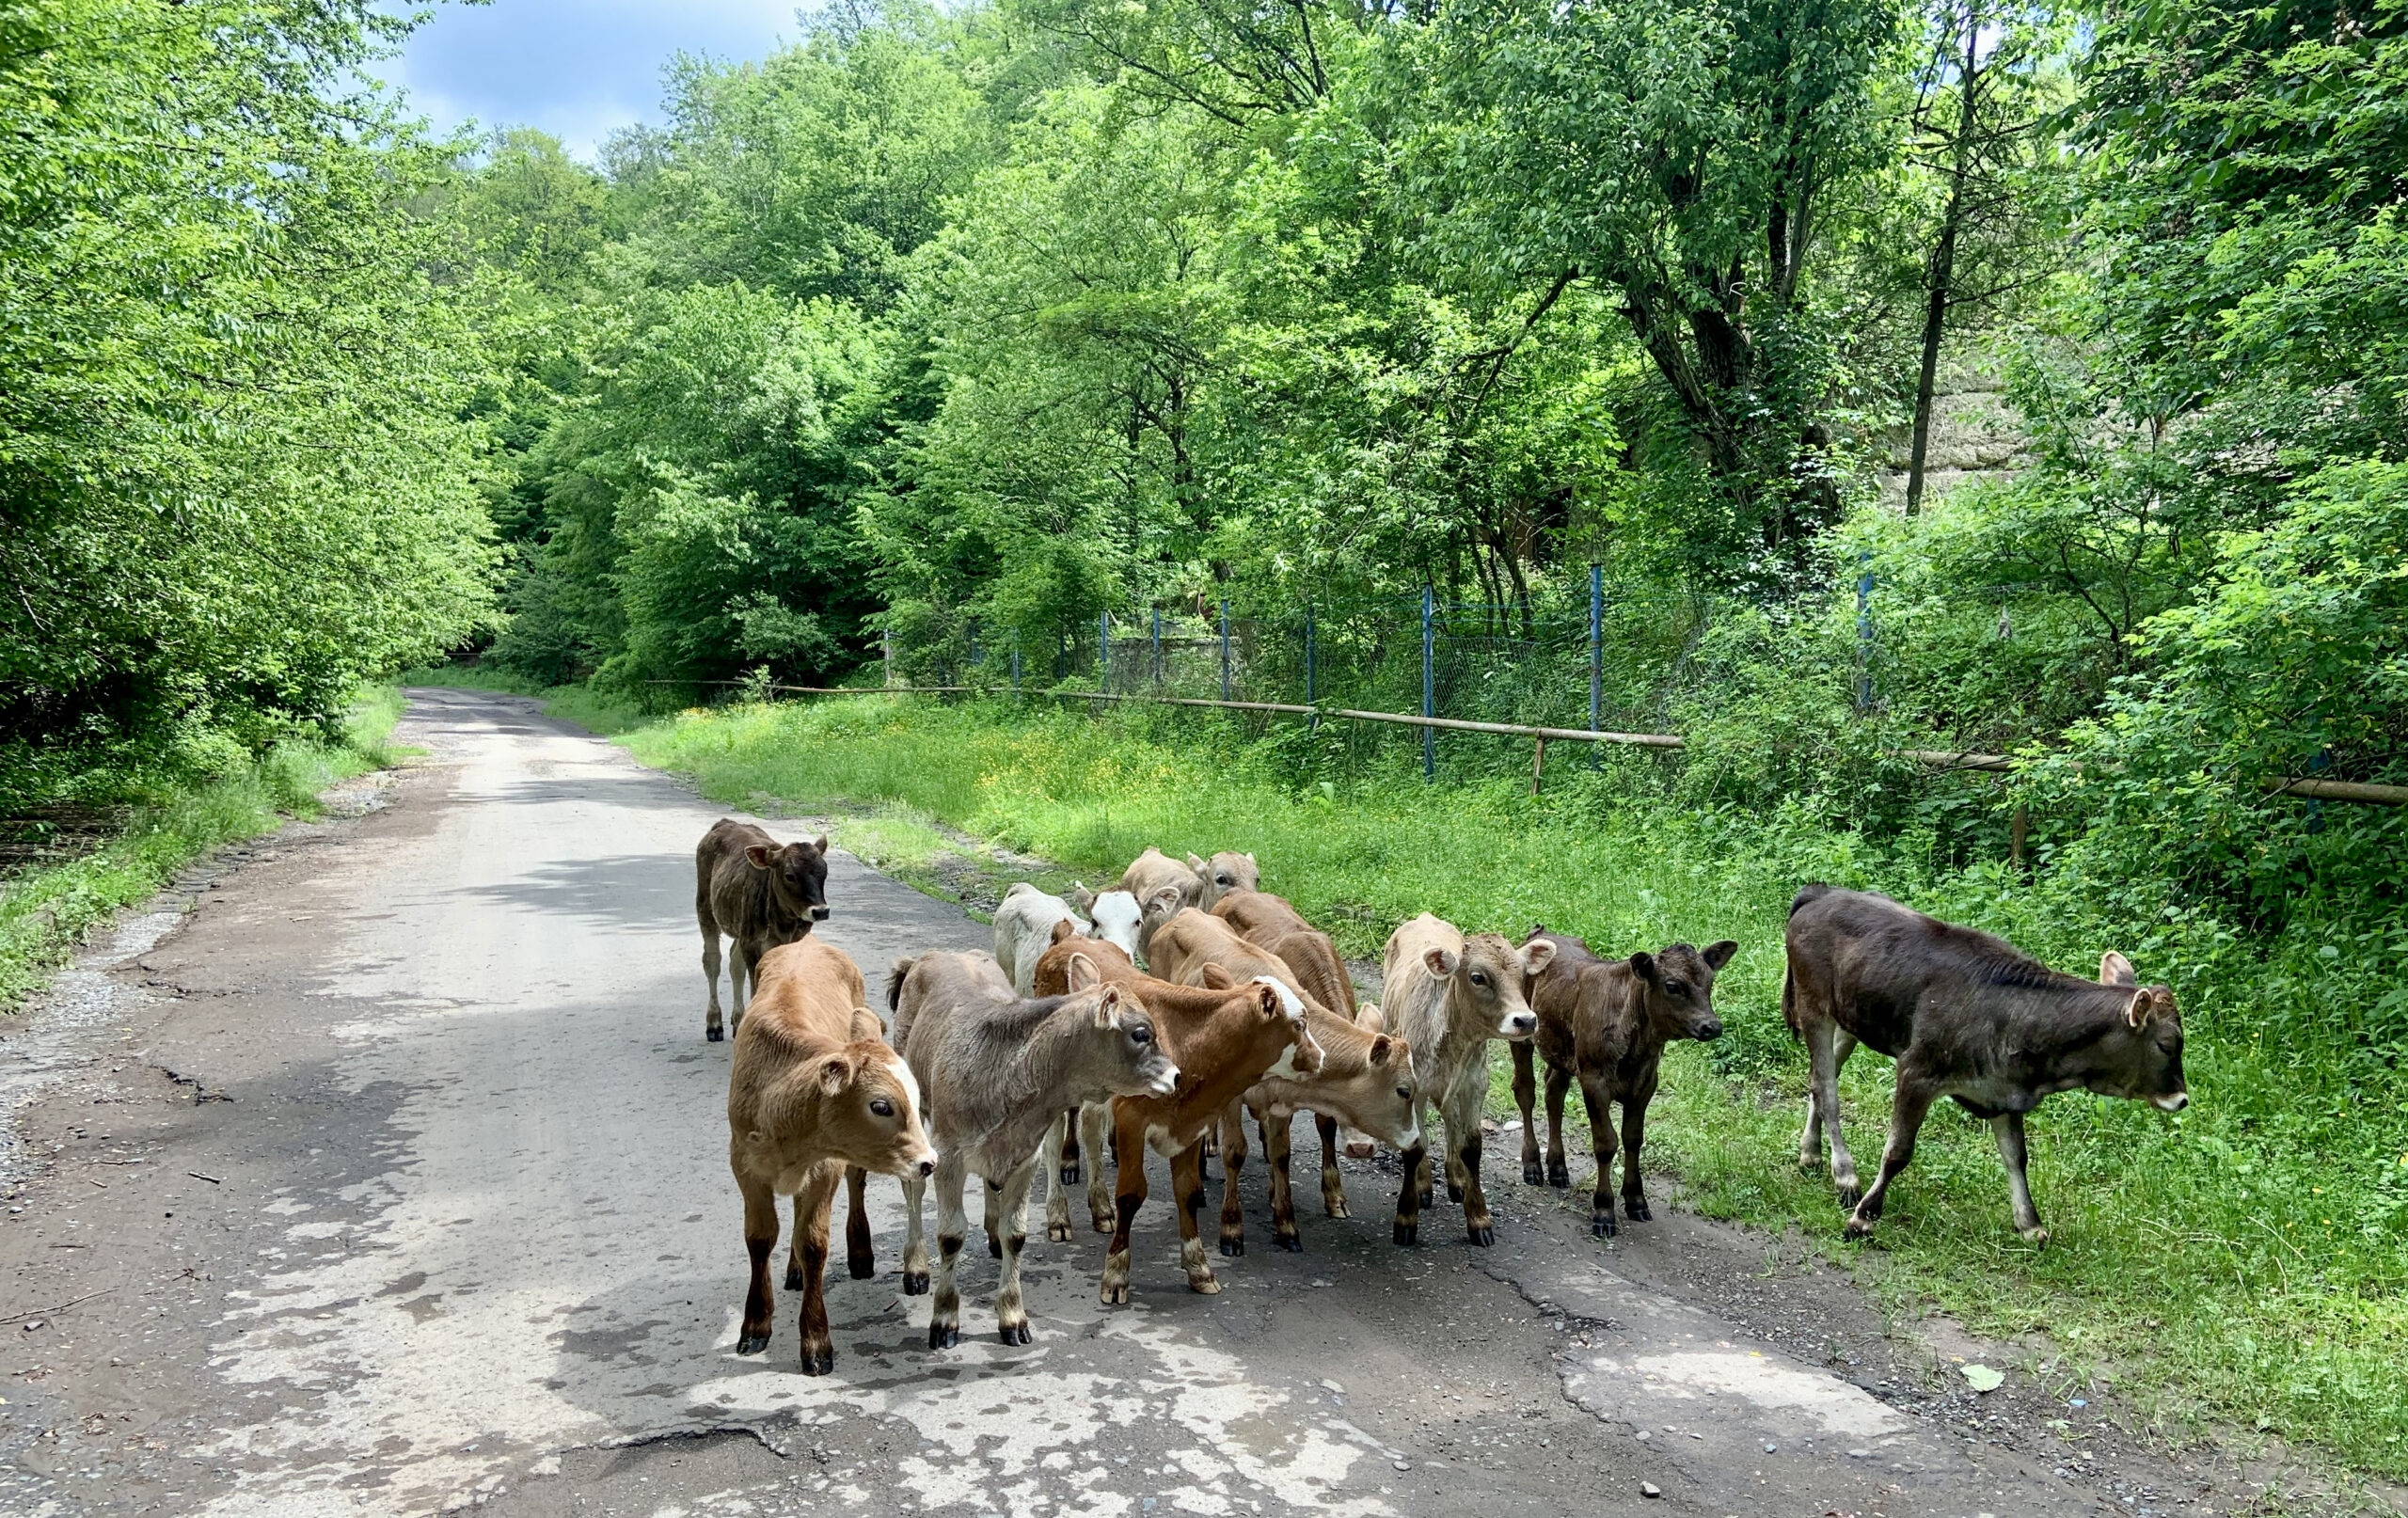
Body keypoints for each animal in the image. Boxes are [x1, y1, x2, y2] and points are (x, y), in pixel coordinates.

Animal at [722, 940, 929, 1378]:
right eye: (880, 1105)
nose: (928, 1162)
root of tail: (809, 942)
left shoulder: (824, 1168)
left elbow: (814, 1243)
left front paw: (816, 1341)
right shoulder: (744, 1164)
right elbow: (760, 1238)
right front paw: (755, 1324)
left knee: (854, 1185)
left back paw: (859, 1253)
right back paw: (794, 1271)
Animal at [1502, 935, 1734, 1242]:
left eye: (1710, 981)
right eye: (1673, 986)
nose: (1712, 1026)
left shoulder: (1646, 1083)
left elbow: (1633, 1138)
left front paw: (1636, 1200)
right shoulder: (1594, 1082)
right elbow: (1606, 1144)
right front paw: (1604, 1210)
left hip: (1562, 1052)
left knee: (1554, 1094)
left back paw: (1558, 1167)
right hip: (1522, 1036)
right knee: (1525, 1092)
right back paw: (1532, 1165)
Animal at [1782, 881, 2195, 1253]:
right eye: (2167, 1044)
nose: (2181, 1099)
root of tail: (1823, 892)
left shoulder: (2003, 1092)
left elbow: (2017, 1158)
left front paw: (2031, 1226)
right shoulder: (1917, 1071)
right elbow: (1898, 1151)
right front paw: (1863, 1218)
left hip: (1851, 1019)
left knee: (1822, 1078)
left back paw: (1811, 1153)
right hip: (1813, 1005)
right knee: (1826, 1088)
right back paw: (1845, 1176)